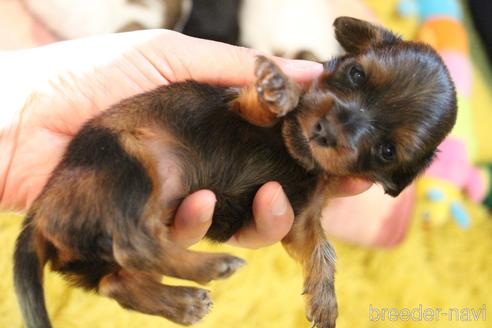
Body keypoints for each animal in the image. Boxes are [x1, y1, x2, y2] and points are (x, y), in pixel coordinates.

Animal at [12, 17, 458, 328]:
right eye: (356, 74)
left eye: (386, 151)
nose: (325, 131)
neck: (295, 153)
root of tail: (38, 216)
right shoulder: (239, 105)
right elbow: (269, 101)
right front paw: (282, 87)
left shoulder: (302, 218)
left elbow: (323, 248)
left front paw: (324, 298)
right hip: (127, 165)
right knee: (133, 245)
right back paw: (212, 269)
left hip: (95, 248)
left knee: (120, 276)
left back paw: (184, 301)